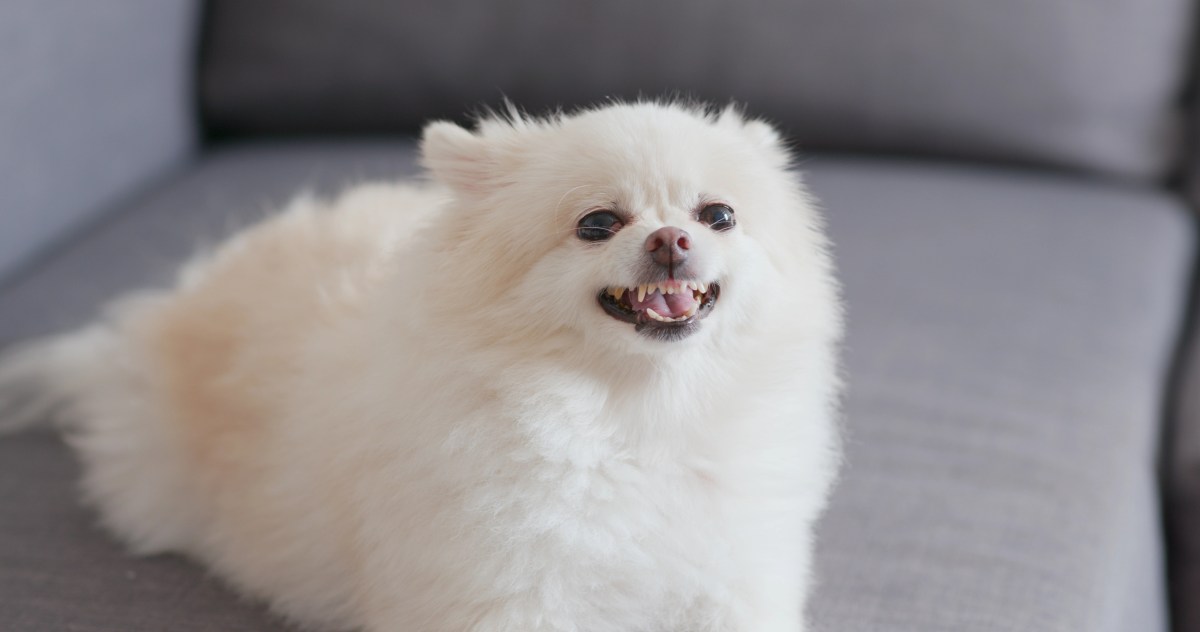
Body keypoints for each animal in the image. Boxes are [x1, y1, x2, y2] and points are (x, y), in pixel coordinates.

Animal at [0, 101, 844, 628]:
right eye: (597, 224)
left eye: (719, 215)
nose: (672, 238)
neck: (633, 414)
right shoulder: (506, 594)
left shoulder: (735, 578)